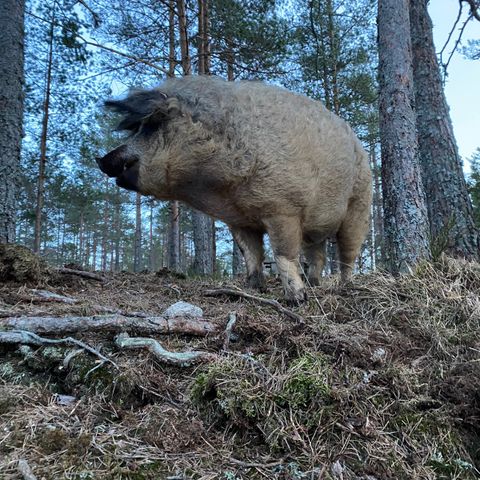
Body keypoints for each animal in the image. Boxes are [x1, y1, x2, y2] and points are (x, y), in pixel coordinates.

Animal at [97, 77, 374, 306]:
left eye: (154, 124)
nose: (102, 159)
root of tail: (361, 147)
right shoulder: (239, 221)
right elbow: (251, 254)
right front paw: (252, 289)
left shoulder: (284, 209)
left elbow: (283, 254)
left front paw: (296, 300)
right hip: (315, 231)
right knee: (318, 256)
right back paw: (315, 285)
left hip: (359, 206)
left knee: (347, 254)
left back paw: (344, 287)